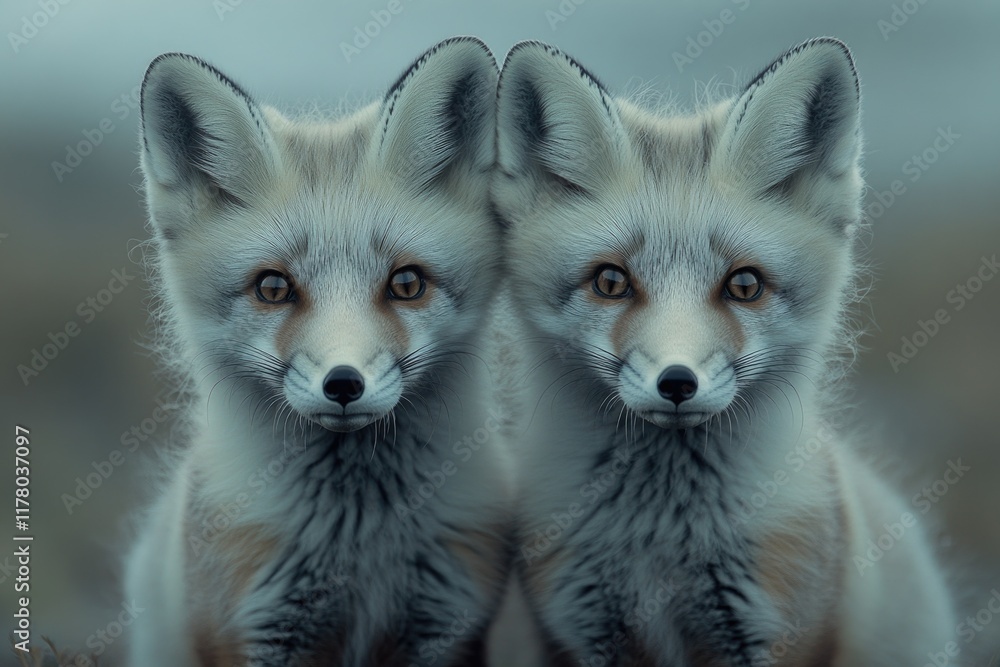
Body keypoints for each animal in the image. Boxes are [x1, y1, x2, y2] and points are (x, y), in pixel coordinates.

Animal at [124, 37, 514, 666]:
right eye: (272, 288)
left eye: (407, 283)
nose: (344, 383)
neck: (357, 540)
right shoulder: (251, 628)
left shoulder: (448, 620)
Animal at [492, 38, 959, 665]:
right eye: (611, 282)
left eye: (744, 285)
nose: (677, 382)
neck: (661, 539)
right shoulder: (576, 627)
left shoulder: (778, 629)